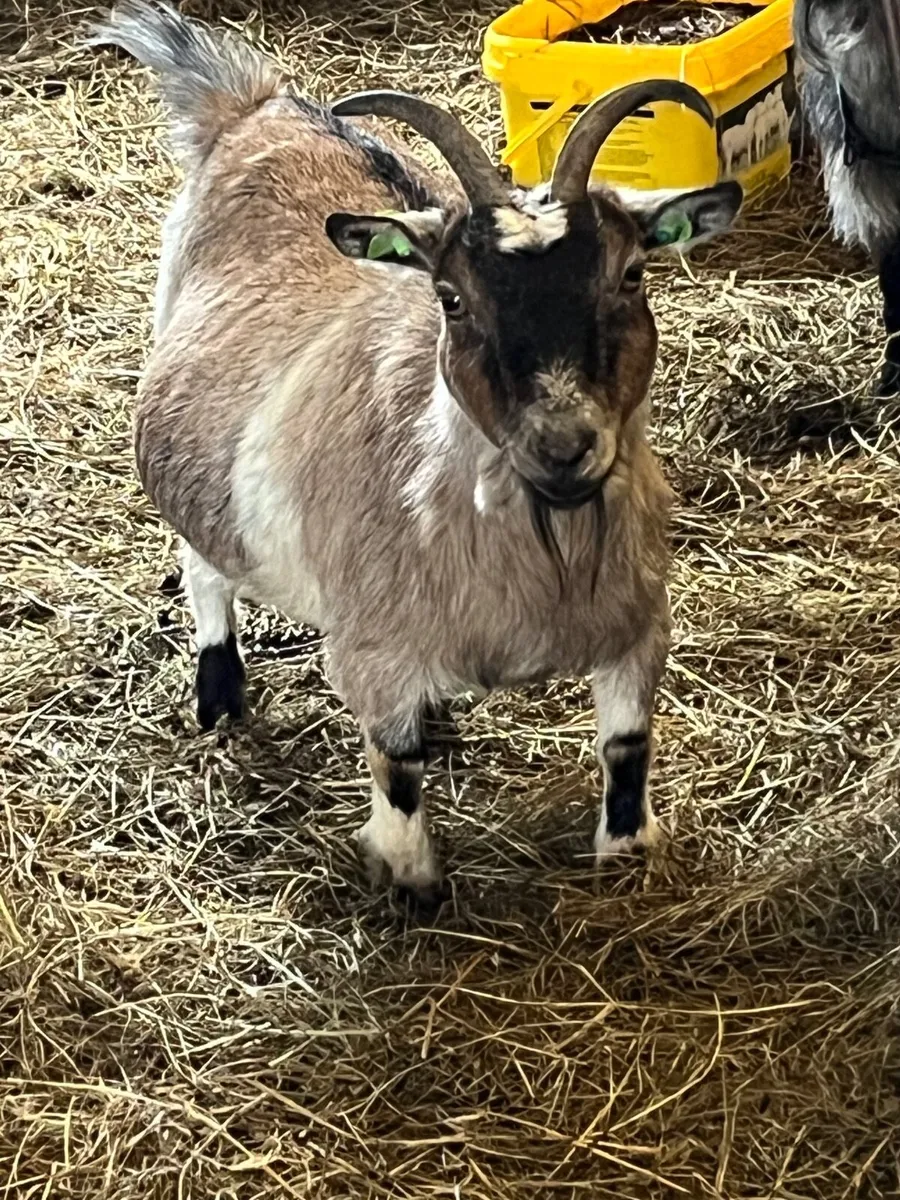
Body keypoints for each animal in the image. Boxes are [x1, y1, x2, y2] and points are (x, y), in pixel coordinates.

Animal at [92, 0, 742, 909]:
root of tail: (259, 107)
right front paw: (409, 880)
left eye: (633, 276)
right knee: (203, 559)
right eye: (452, 299)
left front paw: (626, 856)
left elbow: (627, 748)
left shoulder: (639, 626)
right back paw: (218, 691)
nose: (564, 446)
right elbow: (394, 766)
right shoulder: (371, 651)